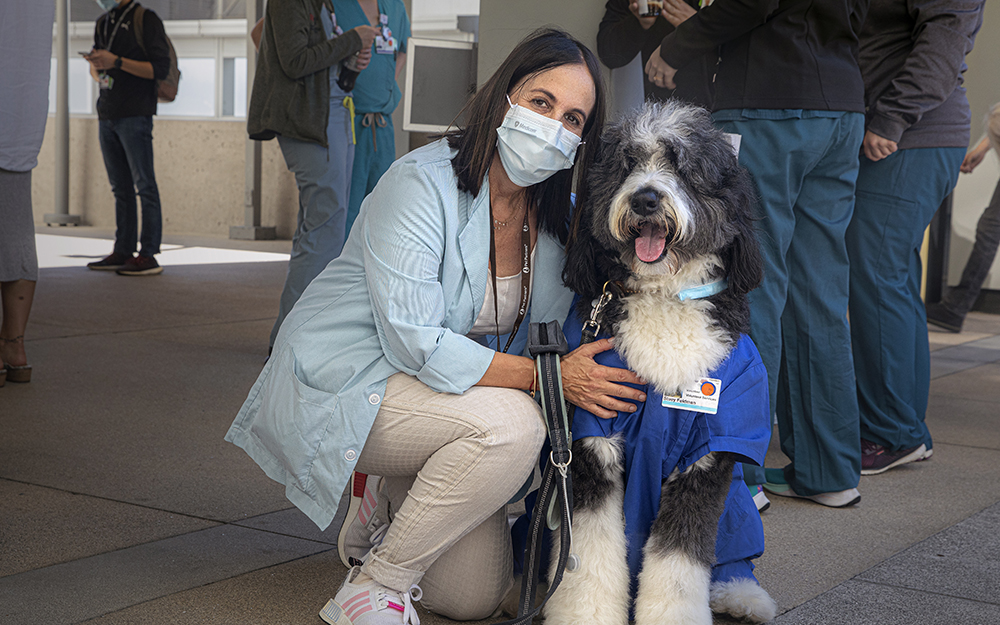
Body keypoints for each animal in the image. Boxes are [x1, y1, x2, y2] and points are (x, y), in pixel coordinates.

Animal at [548, 101, 772, 624]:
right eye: (627, 164)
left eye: (682, 166)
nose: (647, 199)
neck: (664, 296)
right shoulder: (592, 441)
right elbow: (588, 555)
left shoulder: (710, 456)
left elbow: (679, 565)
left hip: (737, 500)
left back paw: (742, 595)